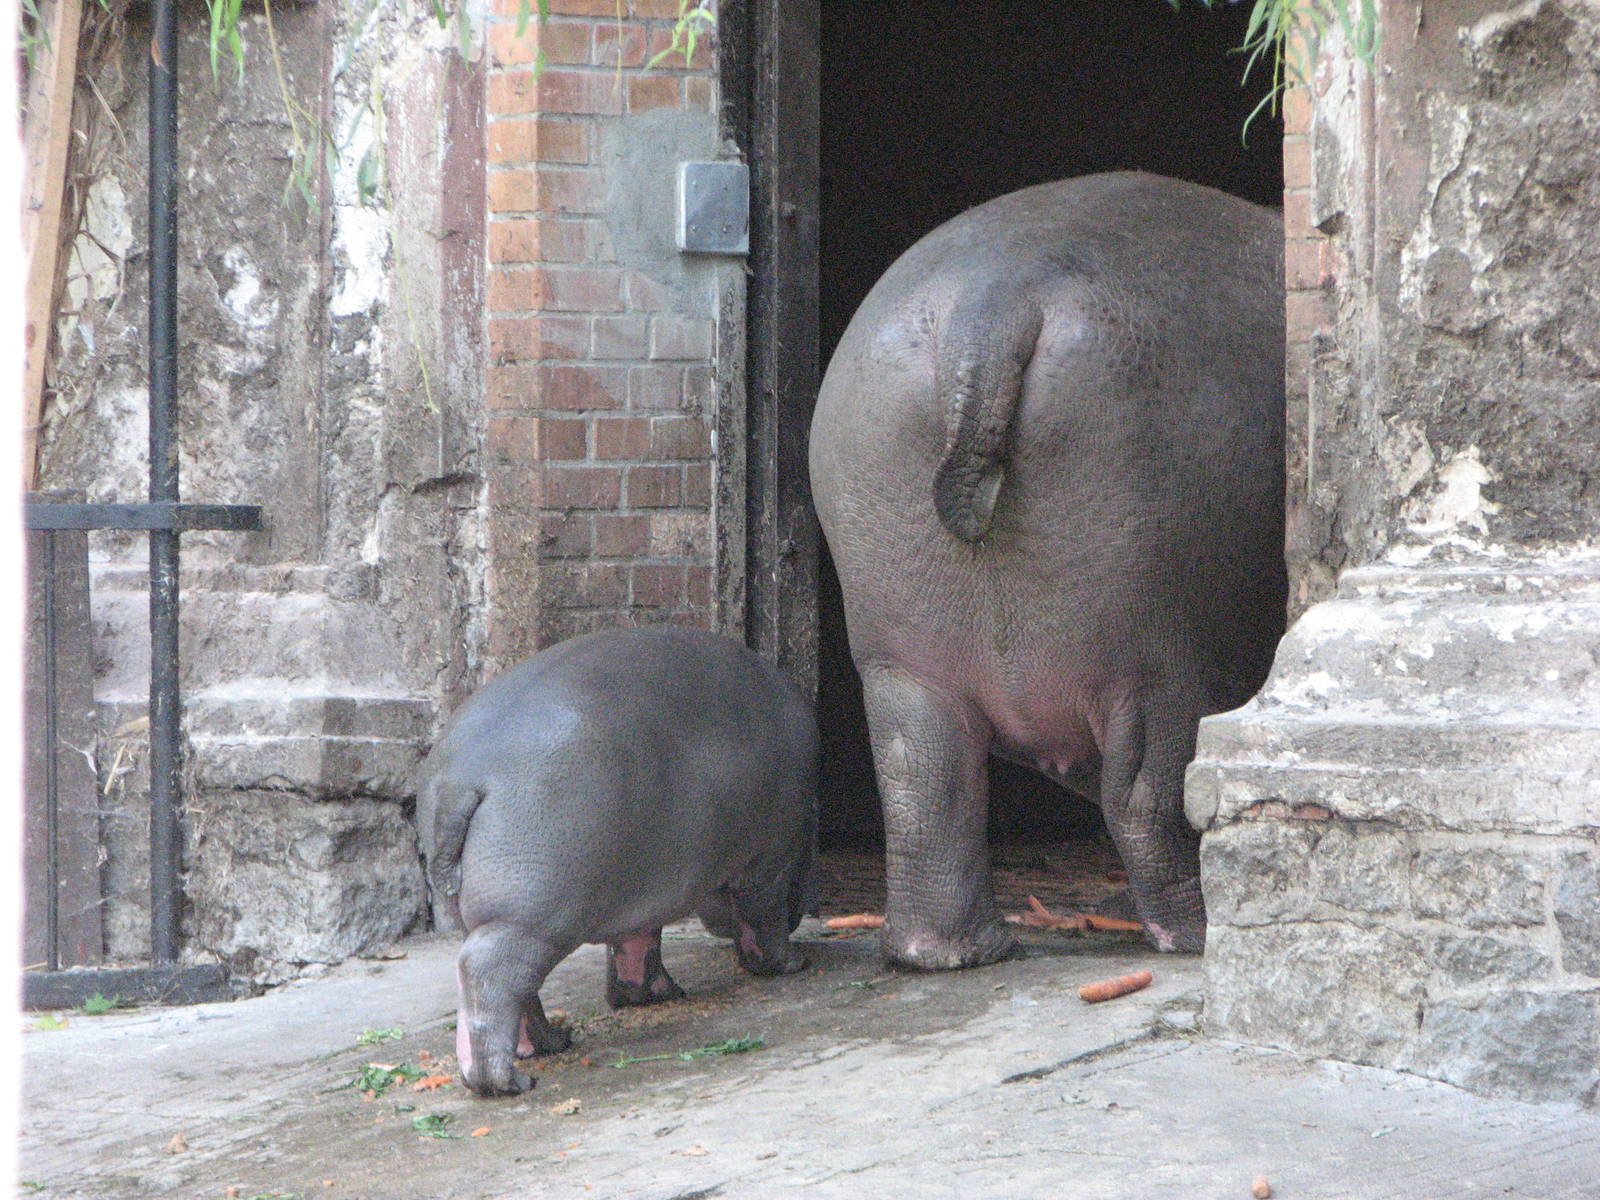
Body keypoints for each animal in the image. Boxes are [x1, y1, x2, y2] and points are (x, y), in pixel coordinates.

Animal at [417, 625, 816, 1097]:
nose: (804, 915)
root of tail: (460, 778)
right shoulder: (772, 855)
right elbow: (762, 914)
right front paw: (789, 964)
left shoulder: (644, 879)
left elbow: (637, 940)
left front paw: (655, 994)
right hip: (530, 917)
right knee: (491, 974)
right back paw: (507, 1082)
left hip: (491, 911)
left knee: (513, 988)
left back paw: (551, 1043)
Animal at [809, 171, 1286, 967]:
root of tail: (991, 304)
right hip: (1158, 656)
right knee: (1150, 793)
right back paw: (1197, 934)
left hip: (901, 656)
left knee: (922, 783)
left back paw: (957, 952)